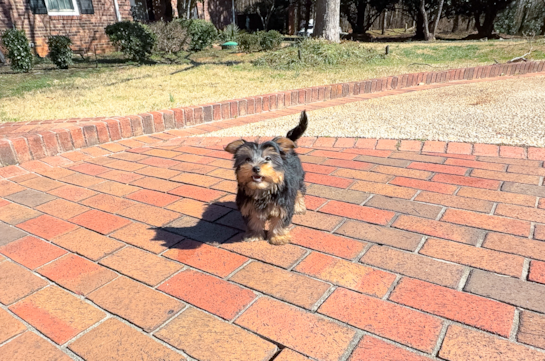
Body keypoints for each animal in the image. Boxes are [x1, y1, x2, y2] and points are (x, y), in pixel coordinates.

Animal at [224, 109, 308, 245]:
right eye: (247, 159)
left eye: (268, 158)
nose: (256, 168)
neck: (263, 190)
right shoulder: (250, 207)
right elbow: (254, 221)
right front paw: (254, 235)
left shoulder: (282, 205)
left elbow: (279, 222)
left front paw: (278, 237)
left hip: (299, 178)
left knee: (299, 191)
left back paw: (300, 207)